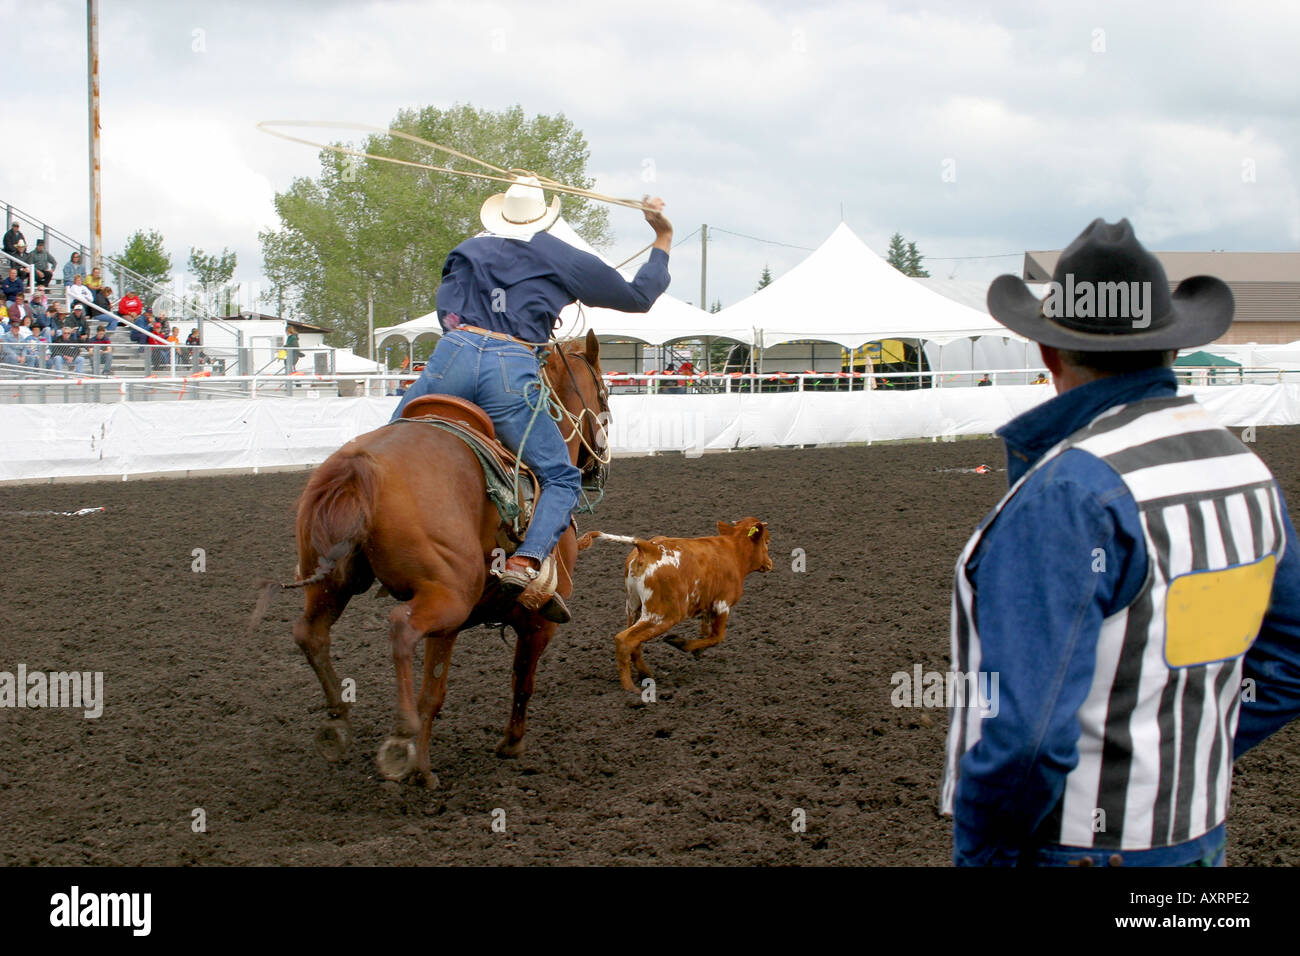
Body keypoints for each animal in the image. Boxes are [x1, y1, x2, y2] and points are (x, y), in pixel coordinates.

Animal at [577, 517, 773, 691]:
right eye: (767, 541)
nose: (770, 563)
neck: (733, 550)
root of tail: (649, 547)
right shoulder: (722, 604)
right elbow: (717, 636)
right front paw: (682, 644)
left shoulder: (708, 604)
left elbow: (706, 631)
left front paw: (697, 649)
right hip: (663, 616)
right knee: (624, 640)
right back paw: (630, 688)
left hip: (634, 608)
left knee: (635, 643)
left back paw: (646, 675)